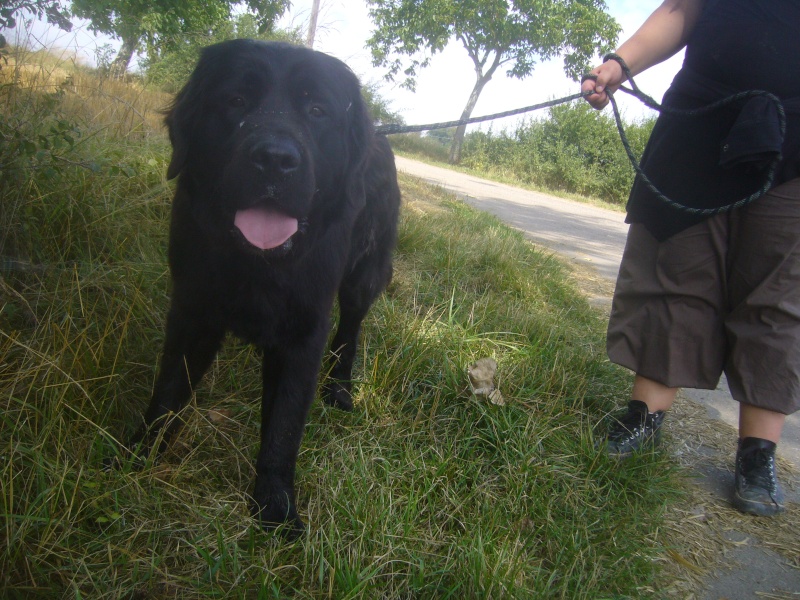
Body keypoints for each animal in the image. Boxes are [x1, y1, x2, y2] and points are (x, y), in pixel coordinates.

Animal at [134, 39, 404, 536]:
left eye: (317, 110)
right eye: (236, 101)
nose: (275, 160)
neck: (258, 265)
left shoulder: (304, 331)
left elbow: (284, 423)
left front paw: (276, 508)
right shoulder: (193, 308)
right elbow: (169, 389)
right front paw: (137, 455)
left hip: (363, 277)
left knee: (351, 330)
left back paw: (339, 387)